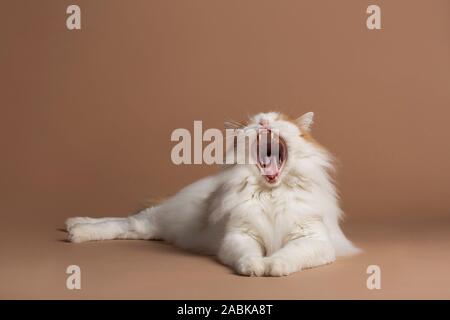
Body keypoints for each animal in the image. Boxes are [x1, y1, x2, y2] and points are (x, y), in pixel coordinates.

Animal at [65, 112, 358, 276]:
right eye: (255, 122)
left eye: (278, 121)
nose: (264, 122)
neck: (270, 193)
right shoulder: (239, 236)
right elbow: (247, 255)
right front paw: (255, 267)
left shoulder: (312, 239)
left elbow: (288, 255)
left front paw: (273, 266)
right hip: (156, 220)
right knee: (123, 221)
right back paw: (76, 229)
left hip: (155, 230)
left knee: (126, 226)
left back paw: (73, 226)